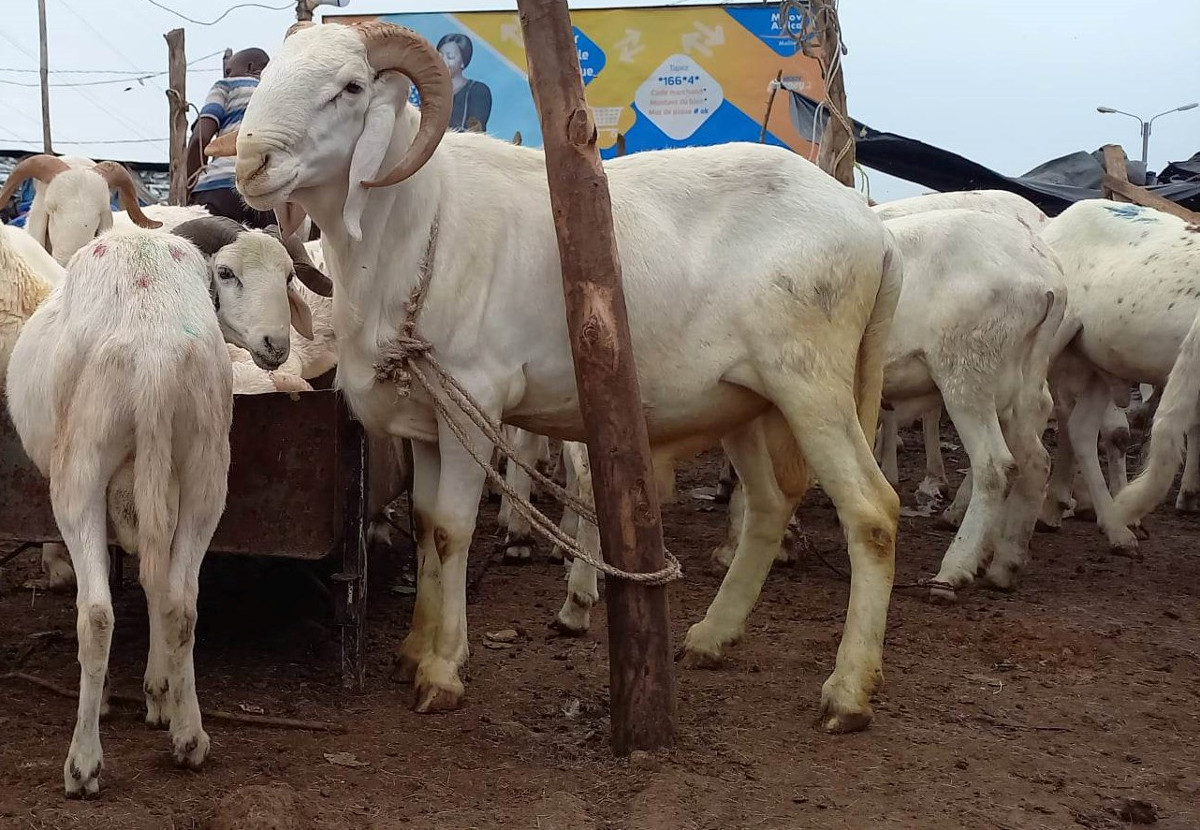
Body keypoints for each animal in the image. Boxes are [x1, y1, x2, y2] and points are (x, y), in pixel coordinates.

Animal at [5, 229, 237, 797]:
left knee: (96, 613)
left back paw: (83, 764)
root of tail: (154, 352)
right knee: (182, 601)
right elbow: (157, 587)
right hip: (205, 468)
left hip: (80, 469)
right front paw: (159, 693)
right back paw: (189, 738)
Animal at [213, 20, 903, 732]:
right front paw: (413, 649)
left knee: (872, 512)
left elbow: (454, 531)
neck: (417, 223)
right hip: (745, 401)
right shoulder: (427, 421)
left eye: (350, 87)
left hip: (811, 383)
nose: (250, 164)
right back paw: (711, 638)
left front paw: (442, 671)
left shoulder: (474, 405)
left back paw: (847, 692)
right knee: (768, 505)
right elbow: (428, 526)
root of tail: (873, 229)